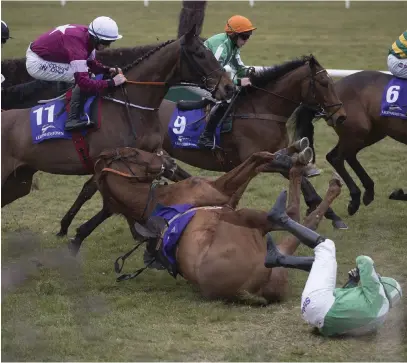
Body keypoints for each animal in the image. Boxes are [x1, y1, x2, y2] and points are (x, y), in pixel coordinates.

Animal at [1, 26, 234, 208]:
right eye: (200, 53)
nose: (229, 87)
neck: (131, 104)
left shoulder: (153, 154)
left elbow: (180, 174)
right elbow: (89, 191)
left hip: (18, 181)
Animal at [296, 70, 407, 216]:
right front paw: (398, 193)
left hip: (372, 133)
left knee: (343, 155)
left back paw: (367, 192)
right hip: (358, 131)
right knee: (337, 157)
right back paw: (356, 199)